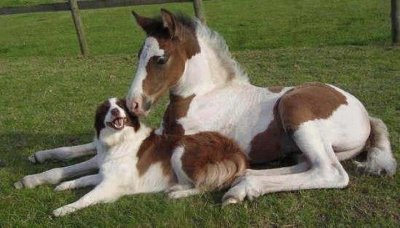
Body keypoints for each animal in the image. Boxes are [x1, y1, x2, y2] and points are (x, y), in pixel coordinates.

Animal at [14, 97, 247, 216]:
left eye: (121, 106)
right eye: (107, 108)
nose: (116, 112)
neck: (119, 141)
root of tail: (235, 149)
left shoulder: (110, 184)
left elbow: (86, 197)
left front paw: (65, 208)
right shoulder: (104, 174)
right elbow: (82, 179)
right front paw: (64, 185)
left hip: (180, 149)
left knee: (205, 186)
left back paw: (176, 193)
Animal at [125, 8, 396, 205]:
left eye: (160, 59)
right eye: (138, 55)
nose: (133, 104)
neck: (203, 95)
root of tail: (365, 116)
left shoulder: (181, 140)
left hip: (295, 108)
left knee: (329, 172)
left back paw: (243, 188)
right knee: (306, 164)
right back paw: (245, 177)